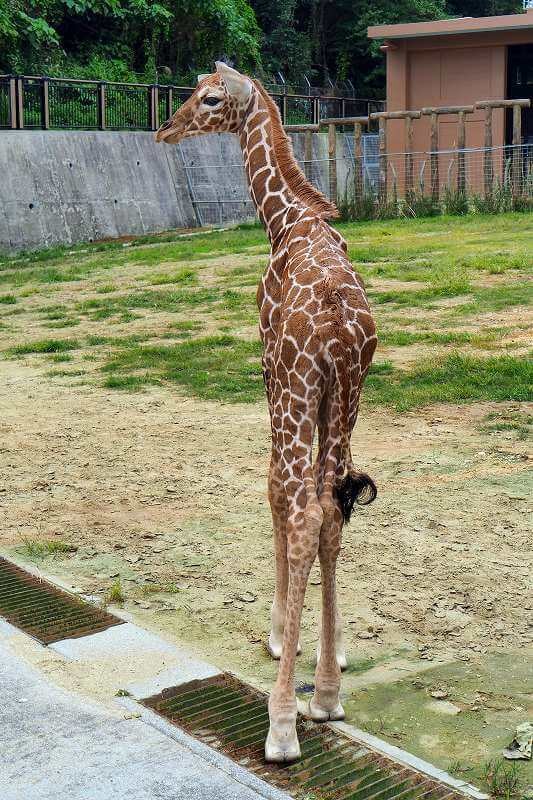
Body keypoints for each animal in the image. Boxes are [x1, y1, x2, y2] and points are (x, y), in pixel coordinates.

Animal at [156, 62, 376, 764]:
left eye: (209, 99)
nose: (164, 129)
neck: (285, 217)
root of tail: (338, 333)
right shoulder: (327, 399)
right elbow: (325, 508)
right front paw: (327, 654)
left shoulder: (271, 372)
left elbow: (275, 494)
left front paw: (280, 631)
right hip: (347, 399)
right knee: (331, 513)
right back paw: (326, 696)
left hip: (298, 392)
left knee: (302, 510)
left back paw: (281, 726)